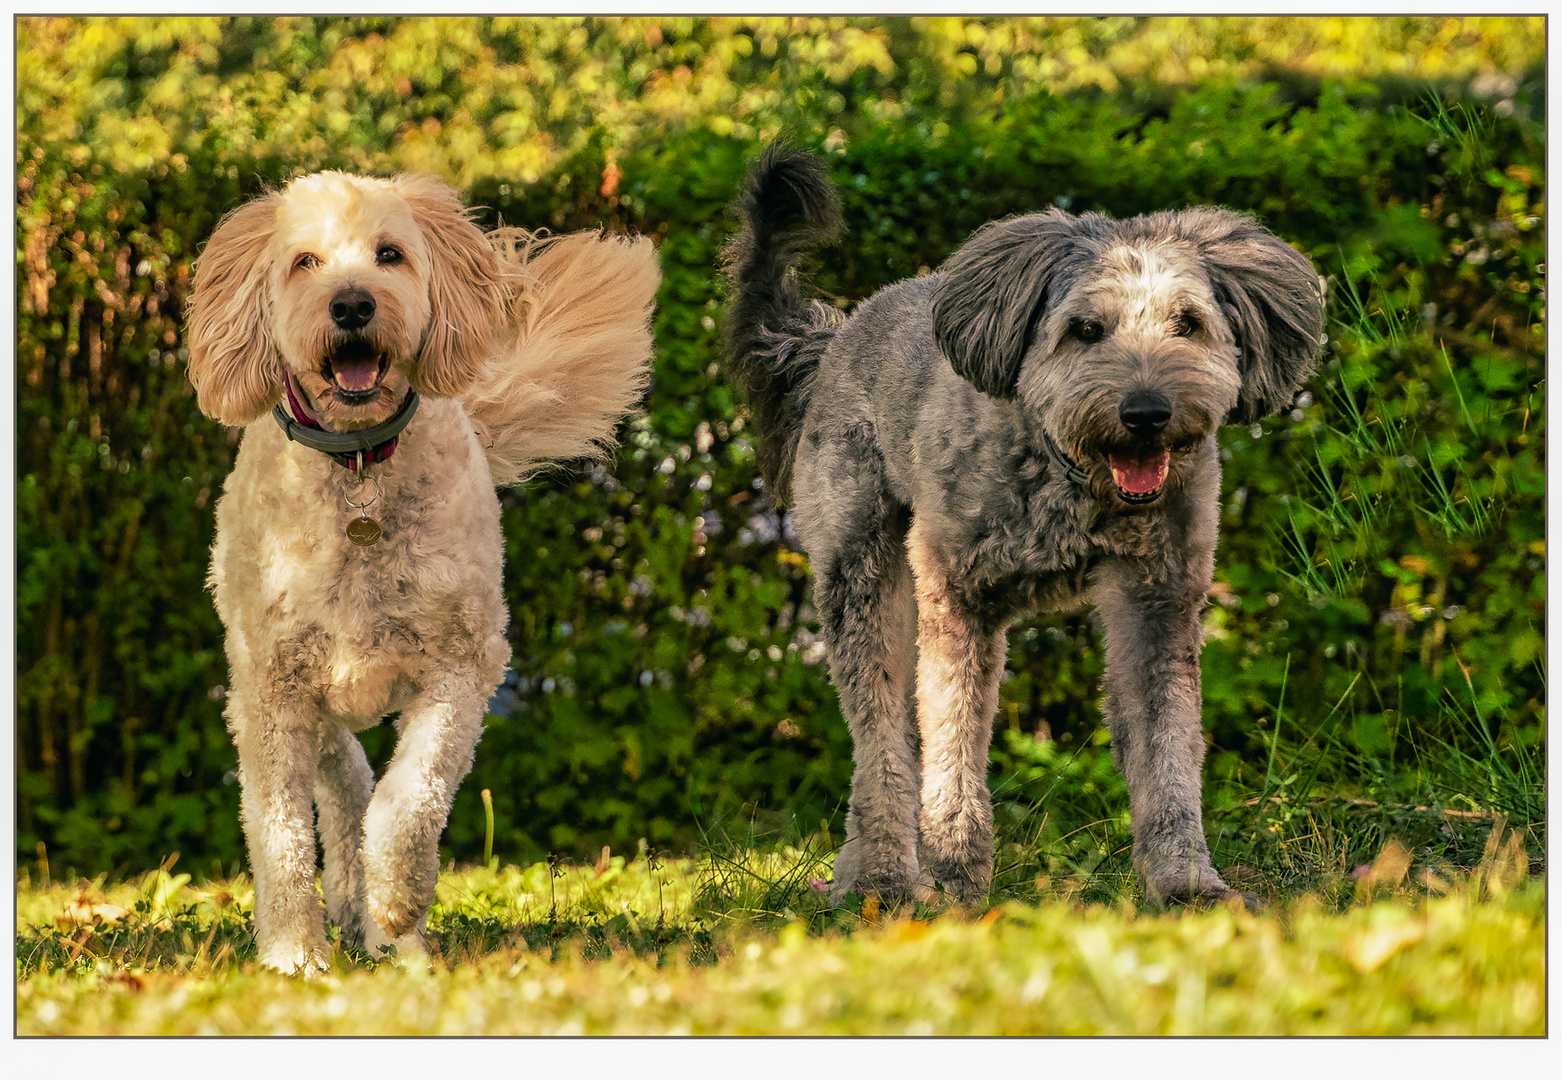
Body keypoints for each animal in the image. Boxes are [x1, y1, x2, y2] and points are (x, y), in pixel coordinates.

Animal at [184, 173, 659, 975]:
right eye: (304, 262)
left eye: (390, 254)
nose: (352, 305)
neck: (358, 469)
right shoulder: (270, 691)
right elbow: (280, 835)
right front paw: (293, 954)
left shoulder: (461, 668)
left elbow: (413, 795)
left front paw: (397, 903)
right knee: (344, 777)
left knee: (362, 786)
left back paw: (380, 926)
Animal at [718, 147, 1318, 906]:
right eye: (1085, 330)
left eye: (1188, 322)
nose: (1147, 413)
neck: (1071, 481)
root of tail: (837, 337)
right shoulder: (956, 600)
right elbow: (951, 748)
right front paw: (955, 880)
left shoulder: (1157, 604)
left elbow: (1169, 752)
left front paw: (1185, 883)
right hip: (860, 572)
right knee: (881, 735)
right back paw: (882, 874)